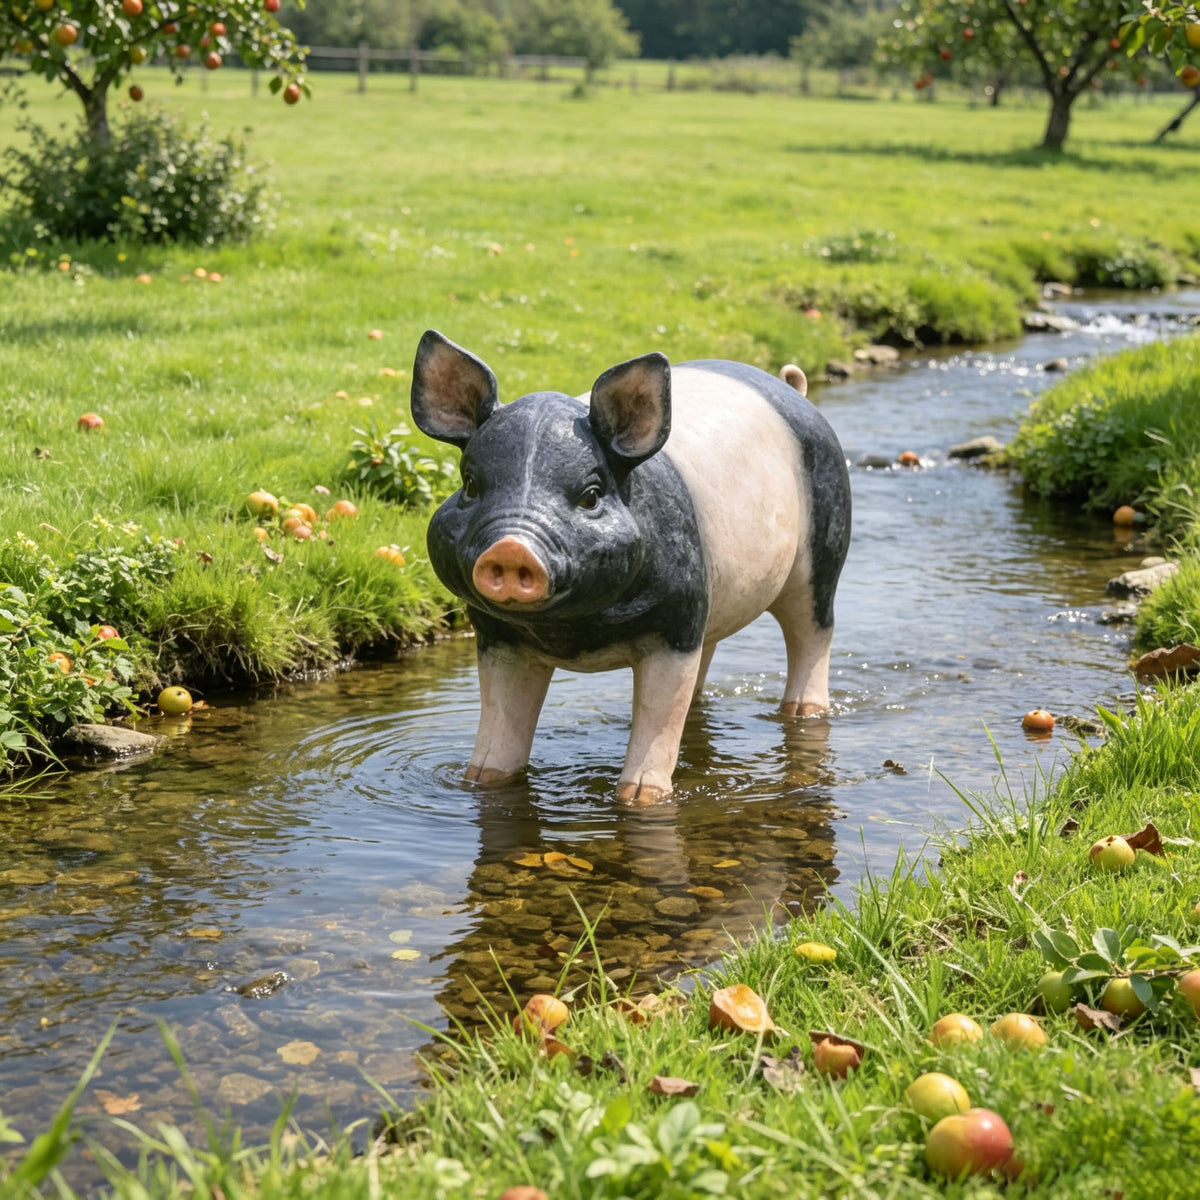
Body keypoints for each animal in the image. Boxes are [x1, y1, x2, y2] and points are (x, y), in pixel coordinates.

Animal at [410, 329, 851, 804]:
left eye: (590, 495)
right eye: (471, 486)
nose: (511, 548)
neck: (573, 634)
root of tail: (793, 389)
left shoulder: (674, 629)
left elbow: (658, 718)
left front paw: (640, 799)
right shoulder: (498, 638)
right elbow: (501, 721)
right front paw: (479, 782)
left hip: (824, 547)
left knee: (813, 631)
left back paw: (803, 710)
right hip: (712, 597)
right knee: (710, 653)